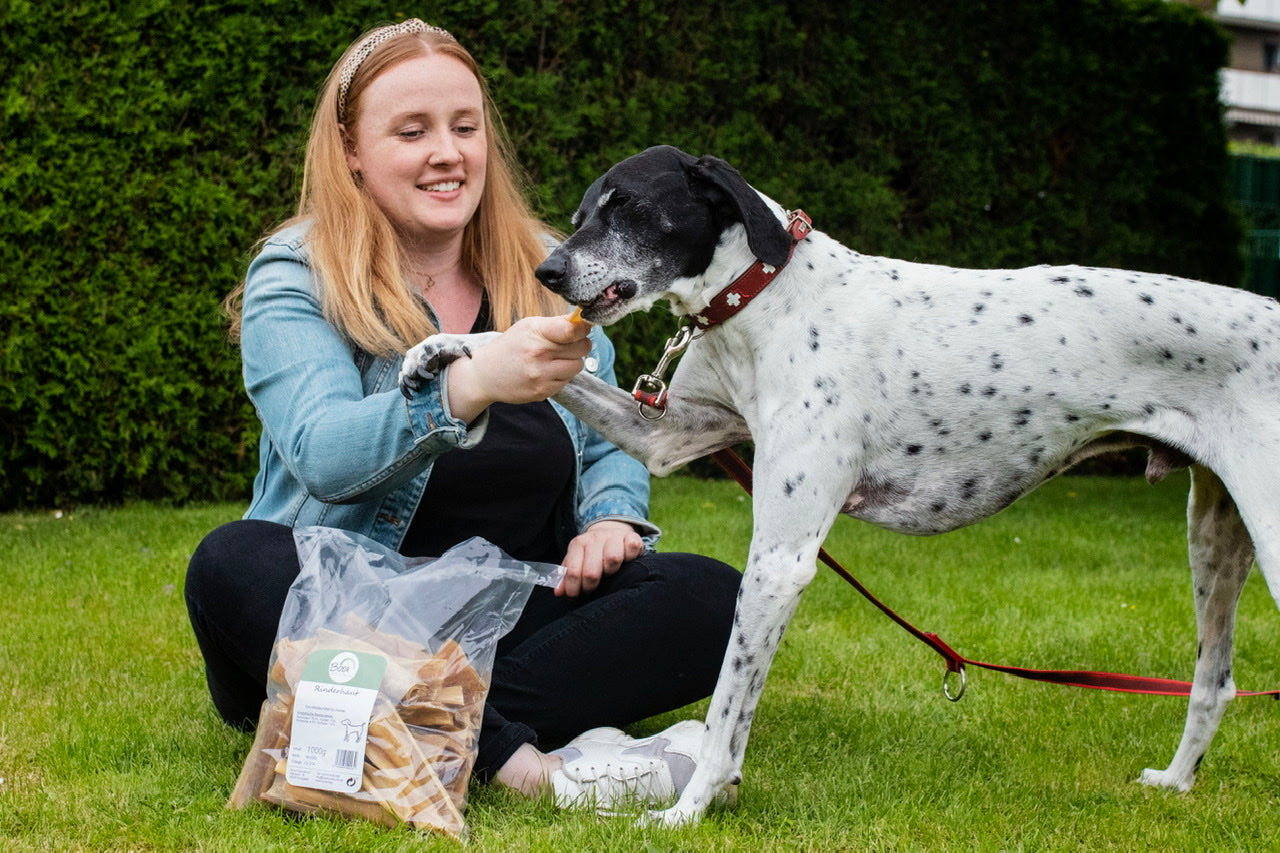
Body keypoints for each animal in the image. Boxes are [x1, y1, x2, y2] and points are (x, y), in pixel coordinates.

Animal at [404, 146, 1280, 824]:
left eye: (631, 208)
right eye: (586, 208)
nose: (549, 270)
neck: (767, 300)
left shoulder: (780, 558)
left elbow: (726, 711)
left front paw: (687, 810)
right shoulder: (668, 435)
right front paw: (446, 352)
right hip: (1213, 535)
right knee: (1215, 680)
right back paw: (1175, 781)